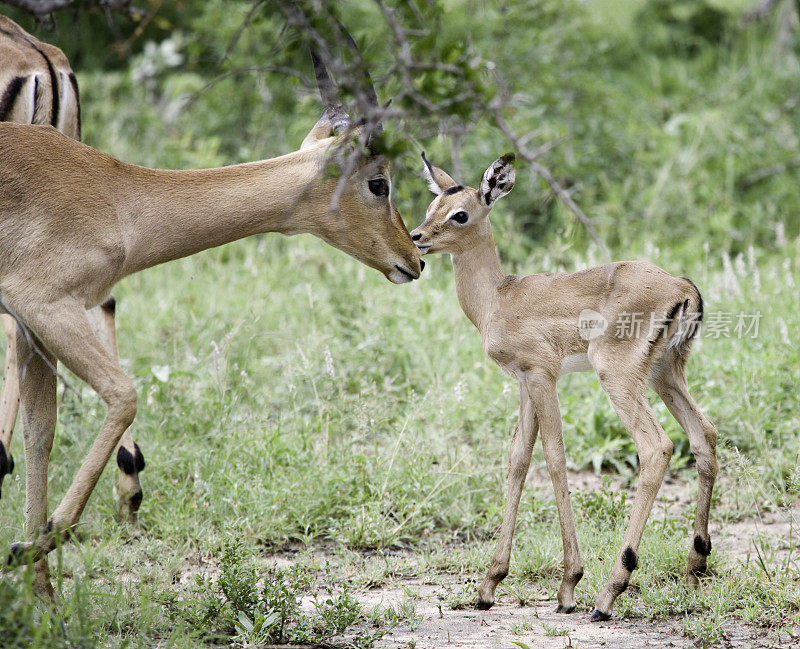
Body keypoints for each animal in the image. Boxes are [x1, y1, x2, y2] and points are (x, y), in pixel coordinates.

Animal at [412, 153, 720, 624]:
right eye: (432, 207)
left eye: (460, 213)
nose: (417, 238)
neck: (499, 297)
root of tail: (682, 286)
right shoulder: (524, 383)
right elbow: (518, 460)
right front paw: (489, 586)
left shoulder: (543, 376)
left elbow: (555, 459)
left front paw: (569, 585)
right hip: (665, 375)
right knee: (704, 433)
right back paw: (694, 569)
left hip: (617, 376)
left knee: (658, 447)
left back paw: (608, 594)